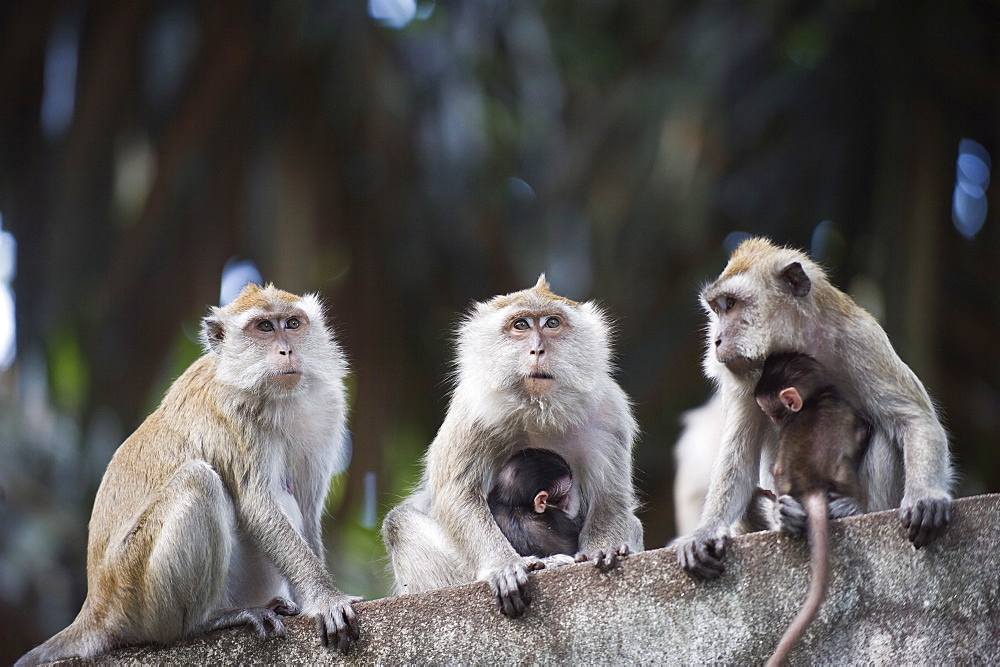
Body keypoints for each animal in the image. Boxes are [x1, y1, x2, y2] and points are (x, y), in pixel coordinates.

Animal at [18, 284, 360, 664]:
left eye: (292, 323)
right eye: (264, 327)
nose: (287, 349)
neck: (278, 398)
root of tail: (96, 605)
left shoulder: (326, 407)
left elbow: (307, 509)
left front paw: (318, 598)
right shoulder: (234, 413)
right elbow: (258, 505)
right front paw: (326, 599)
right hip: (136, 593)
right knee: (199, 480)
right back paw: (207, 621)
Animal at [382, 276, 640, 616]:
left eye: (552, 322)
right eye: (521, 325)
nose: (537, 349)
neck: (540, 411)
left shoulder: (609, 412)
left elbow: (610, 498)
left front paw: (603, 548)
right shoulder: (472, 408)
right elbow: (457, 493)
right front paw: (503, 566)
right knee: (400, 523)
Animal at [676, 237, 948, 580]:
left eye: (731, 304)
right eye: (717, 308)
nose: (716, 340)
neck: (797, 342)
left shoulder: (862, 339)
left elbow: (912, 418)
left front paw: (926, 495)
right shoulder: (743, 377)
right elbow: (738, 456)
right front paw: (707, 530)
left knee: (885, 434)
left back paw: (854, 510)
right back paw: (787, 515)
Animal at [752, 352, 864, 664]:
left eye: (774, 413)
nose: (774, 420)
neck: (816, 397)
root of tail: (811, 483)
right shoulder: (844, 406)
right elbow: (861, 432)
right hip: (841, 471)